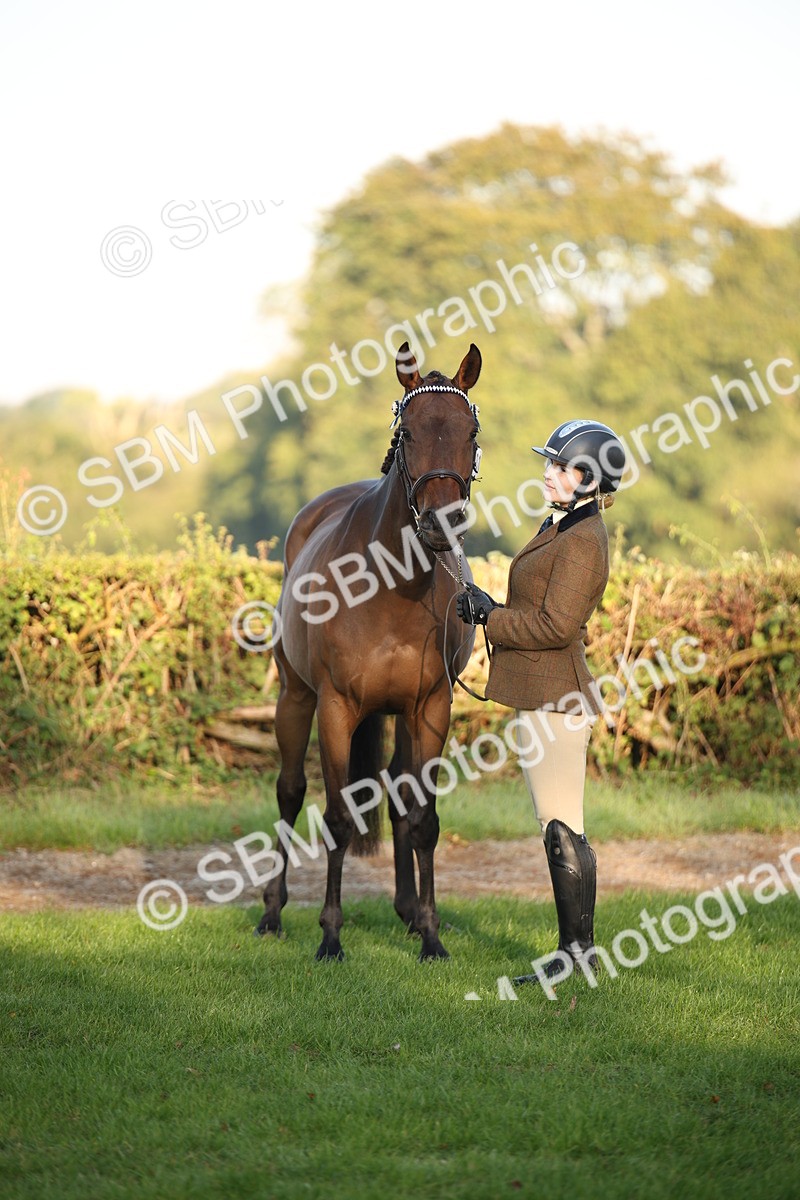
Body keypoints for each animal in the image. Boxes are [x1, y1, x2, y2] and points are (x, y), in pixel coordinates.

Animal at [256, 341, 483, 961]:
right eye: (407, 431)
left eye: (471, 431)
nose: (442, 522)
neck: (391, 588)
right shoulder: (336, 707)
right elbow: (337, 818)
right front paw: (331, 937)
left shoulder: (430, 709)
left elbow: (423, 819)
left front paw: (431, 936)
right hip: (296, 698)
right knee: (290, 792)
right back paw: (272, 913)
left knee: (400, 799)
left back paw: (407, 912)